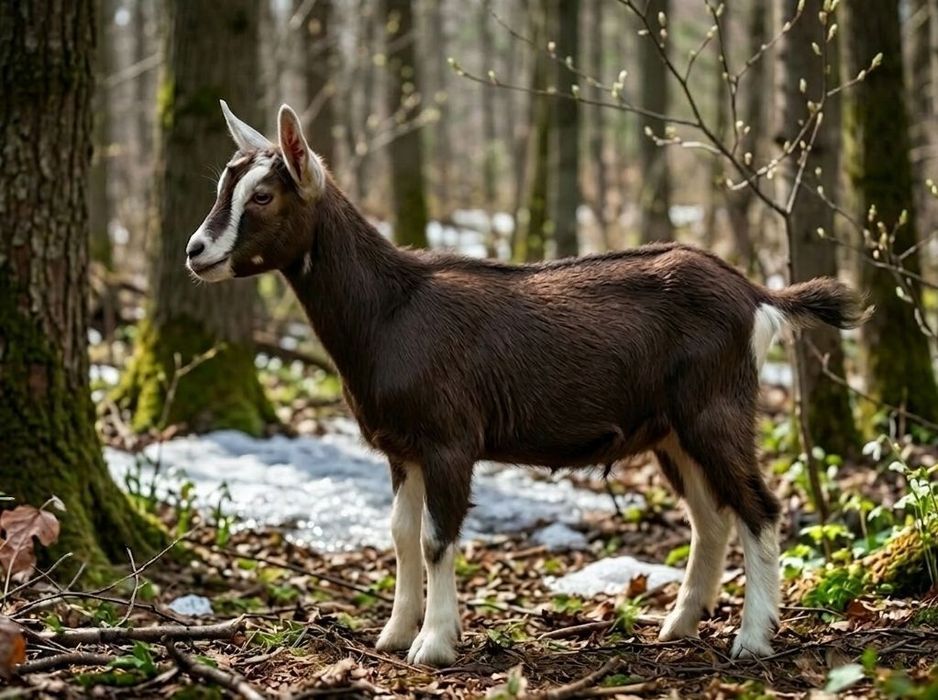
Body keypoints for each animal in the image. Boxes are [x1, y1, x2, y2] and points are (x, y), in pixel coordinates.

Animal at [185, 101, 869, 666]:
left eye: (264, 195)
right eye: (223, 184)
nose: (195, 251)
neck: (389, 311)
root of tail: (756, 295)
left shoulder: (449, 438)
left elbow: (436, 538)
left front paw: (434, 645)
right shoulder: (401, 447)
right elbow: (401, 535)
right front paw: (394, 633)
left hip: (715, 407)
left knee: (759, 508)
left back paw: (751, 640)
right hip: (671, 431)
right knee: (710, 518)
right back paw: (678, 625)